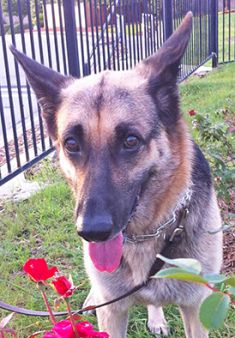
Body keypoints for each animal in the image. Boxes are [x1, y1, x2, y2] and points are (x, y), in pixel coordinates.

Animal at [11, 12, 222, 338]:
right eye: (72, 144)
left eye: (131, 141)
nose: (92, 231)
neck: (147, 234)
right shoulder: (111, 312)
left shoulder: (196, 311)